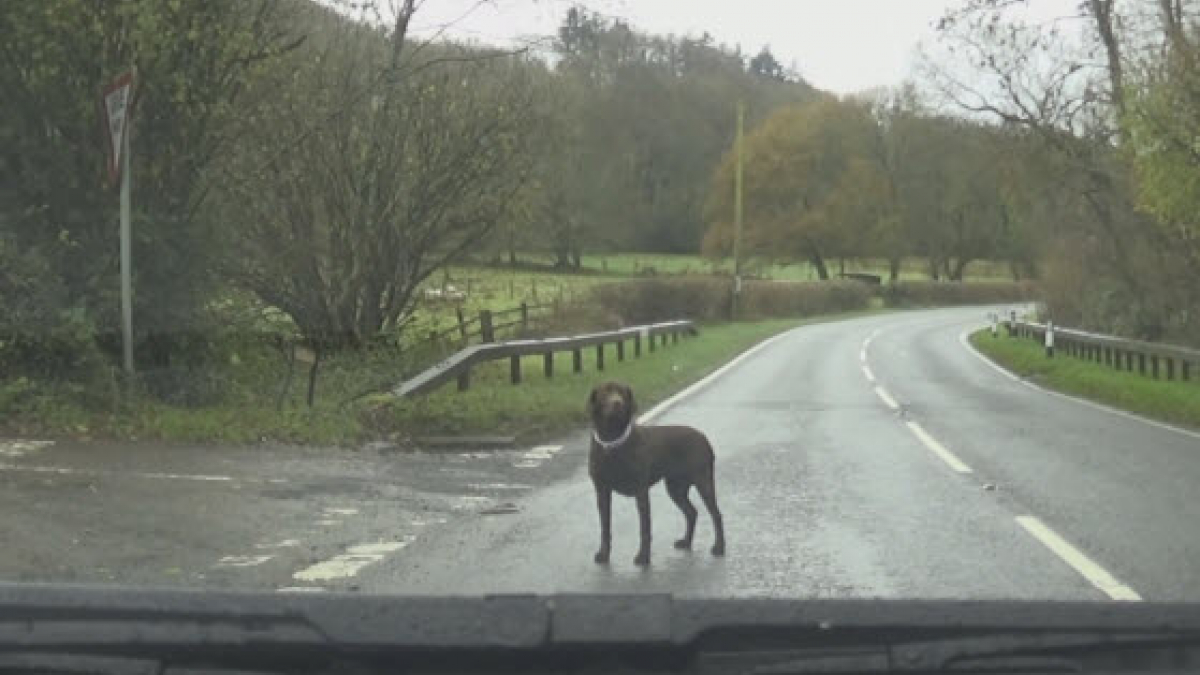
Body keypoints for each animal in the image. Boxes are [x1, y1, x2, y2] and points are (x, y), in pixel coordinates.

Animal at [588, 379, 724, 562]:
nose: (617, 403)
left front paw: (643, 557)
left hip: (703, 482)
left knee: (716, 514)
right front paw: (603, 554)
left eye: (622, 392)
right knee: (691, 512)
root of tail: (704, 438)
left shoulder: (641, 491)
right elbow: (605, 527)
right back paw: (686, 542)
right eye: (605, 393)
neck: (612, 442)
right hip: (675, 488)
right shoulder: (602, 492)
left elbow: (644, 528)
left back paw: (719, 547)